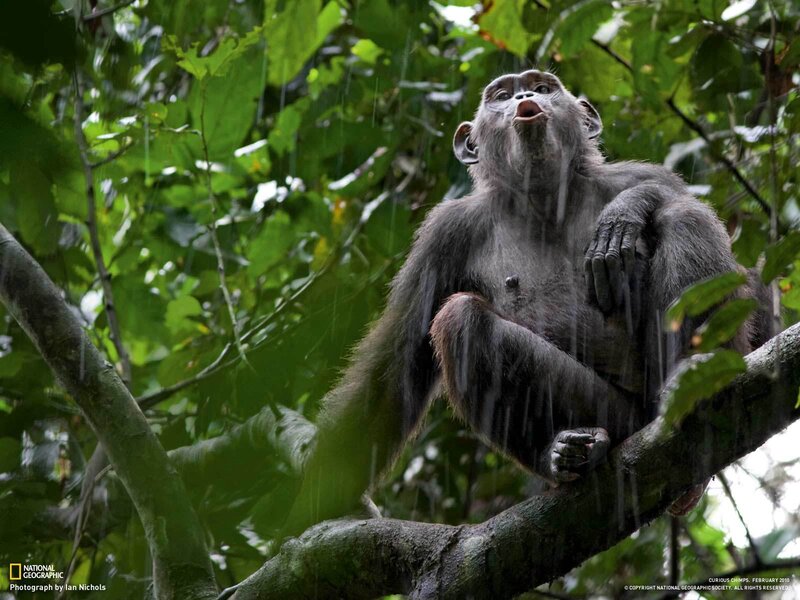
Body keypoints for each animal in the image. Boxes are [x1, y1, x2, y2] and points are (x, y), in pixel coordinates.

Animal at [280, 70, 766, 538]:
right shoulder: (444, 236)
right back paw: (566, 454)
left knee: (684, 217)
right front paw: (319, 496)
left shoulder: (641, 175)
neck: (544, 196)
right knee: (461, 321)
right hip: (613, 415)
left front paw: (625, 213)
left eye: (543, 86)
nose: (524, 97)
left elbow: (676, 202)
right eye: (500, 94)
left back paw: (692, 374)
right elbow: (397, 360)